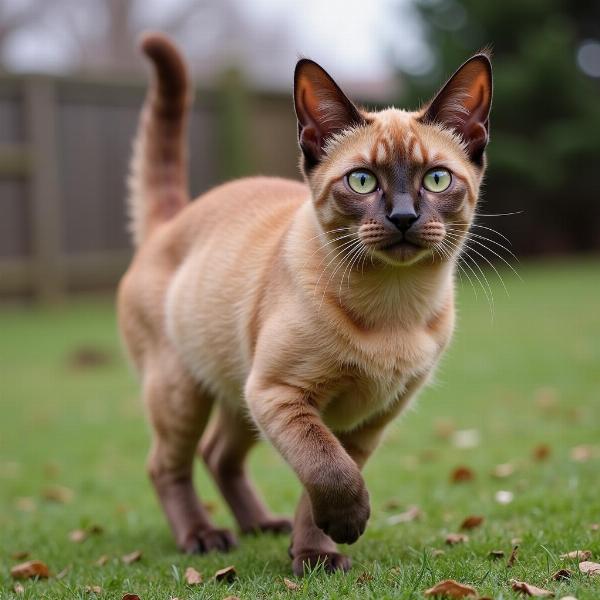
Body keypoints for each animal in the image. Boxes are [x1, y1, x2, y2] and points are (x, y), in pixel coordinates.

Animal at [118, 30, 492, 576]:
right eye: (362, 181)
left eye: (436, 179)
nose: (403, 217)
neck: (393, 305)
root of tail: (173, 219)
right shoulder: (283, 395)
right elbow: (328, 471)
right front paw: (342, 531)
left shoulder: (362, 421)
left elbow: (322, 483)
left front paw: (316, 552)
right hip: (184, 390)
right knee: (166, 465)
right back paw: (203, 537)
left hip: (239, 393)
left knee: (218, 454)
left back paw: (261, 526)